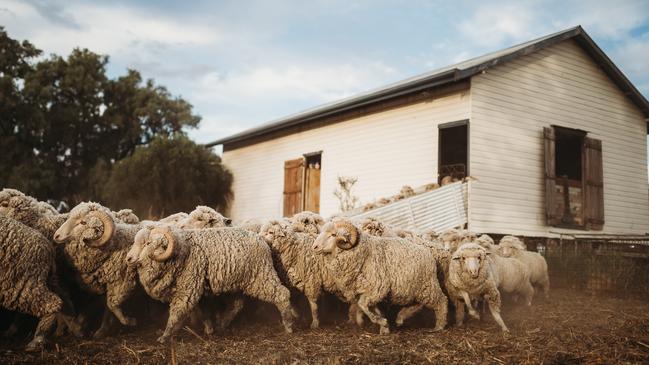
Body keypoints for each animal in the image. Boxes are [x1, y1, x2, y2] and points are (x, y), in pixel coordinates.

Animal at [124, 225, 296, 342]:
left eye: (147, 243)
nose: (128, 259)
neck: (177, 253)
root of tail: (263, 240)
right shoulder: (196, 288)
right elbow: (202, 312)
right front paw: (209, 329)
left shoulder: (188, 288)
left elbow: (177, 312)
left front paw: (166, 336)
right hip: (238, 282)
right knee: (237, 305)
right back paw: (222, 325)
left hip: (260, 276)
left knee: (281, 294)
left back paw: (289, 325)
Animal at [310, 218, 446, 334]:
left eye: (333, 235)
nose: (314, 247)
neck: (362, 254)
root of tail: (428, 253)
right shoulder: (370, 292)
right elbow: (370, 308)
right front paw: (384, 327)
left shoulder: (377, 288)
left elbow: (362, 305)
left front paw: (382, 322)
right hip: (415, 289)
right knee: (417, 304)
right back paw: (400, 318)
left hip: (428, 286)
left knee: (441, 301)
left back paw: (439, 326)